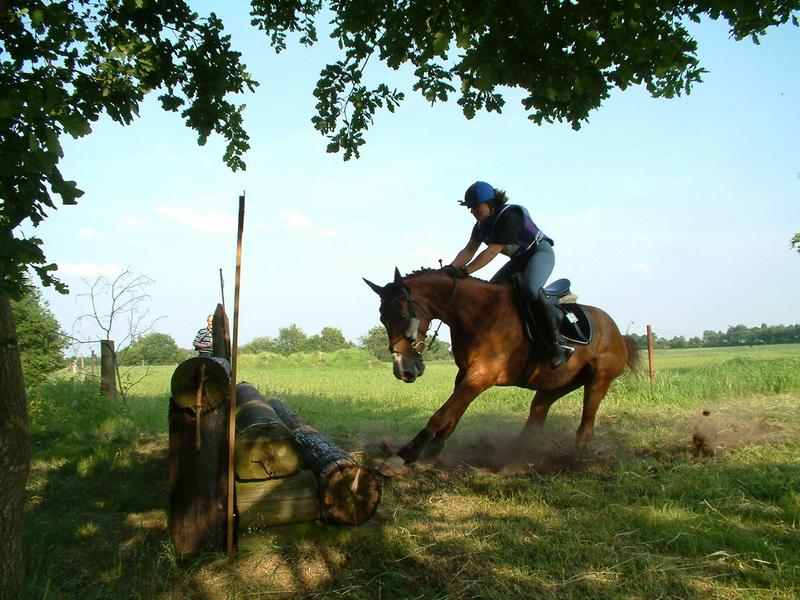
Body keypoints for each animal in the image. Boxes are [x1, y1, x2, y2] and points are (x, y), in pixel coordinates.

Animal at [366, 268, 640, 478]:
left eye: (403, 315)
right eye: (382, 319)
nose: (402, 370)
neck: (478, 312)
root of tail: (617, 332)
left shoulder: (482, 376)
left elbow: (440, 416)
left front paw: (402, 457)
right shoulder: (465, 374)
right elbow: (452, 416)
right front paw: (430, 456)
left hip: (598, 379)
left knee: (585, 427)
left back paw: (573, 462)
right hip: (553, 386)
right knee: (535, 419)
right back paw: (515, 462)